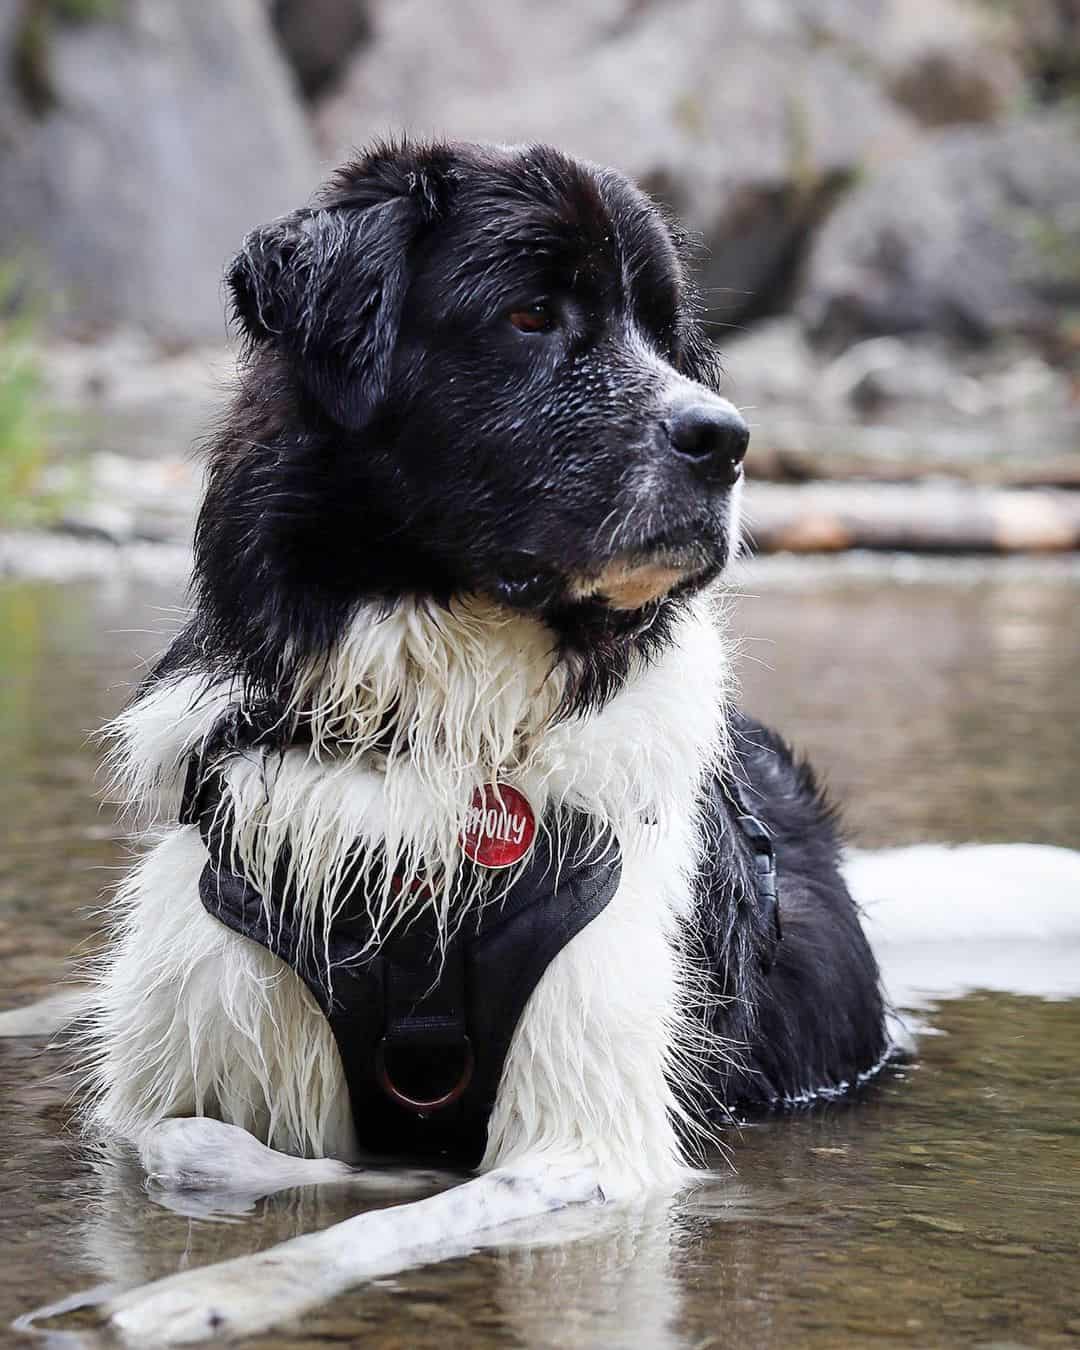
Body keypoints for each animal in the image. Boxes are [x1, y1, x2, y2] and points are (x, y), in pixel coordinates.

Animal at [63, 137, 1074, 1339]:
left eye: (663, 332)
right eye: (531, 314)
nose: (728, 441)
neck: (442, 726)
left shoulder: (593, 1133)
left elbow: (387, 1216)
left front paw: (217, 1289)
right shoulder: (182, 1059)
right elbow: (200, 1146)